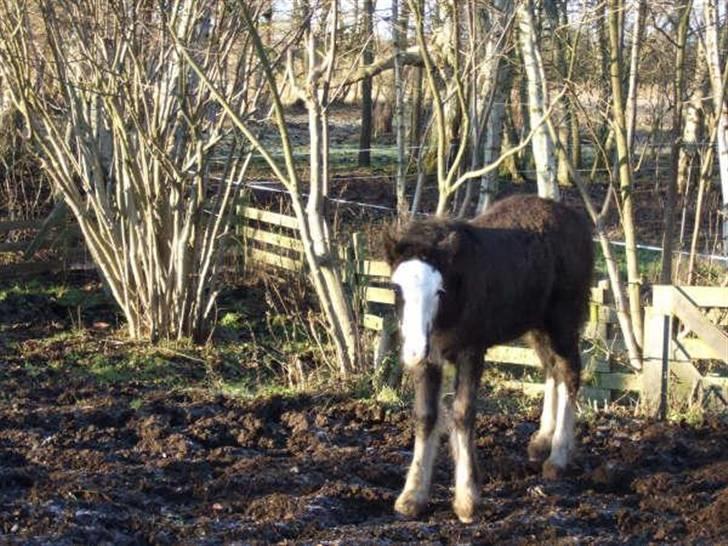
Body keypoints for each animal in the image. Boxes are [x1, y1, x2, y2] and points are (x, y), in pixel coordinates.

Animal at [383, 194, 594, 523]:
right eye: (396, 287)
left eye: (439, 291)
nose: (413, 351)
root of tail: (577, 220)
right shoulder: (431, 359)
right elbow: (426, 416)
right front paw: (412, 496)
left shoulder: (471, 350)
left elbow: (462, 412)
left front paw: (467, 498)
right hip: (536, 324)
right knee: (552, 369)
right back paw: (541, 441)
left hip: (563, 320)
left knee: (570, 373)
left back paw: (558, 457)